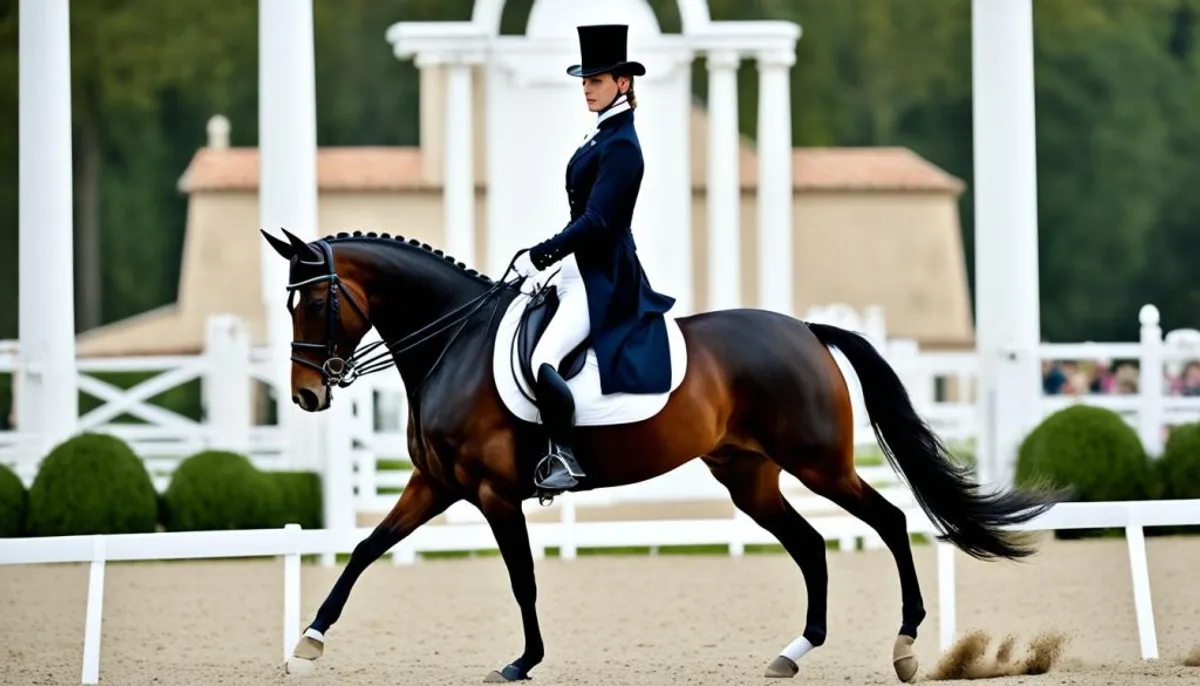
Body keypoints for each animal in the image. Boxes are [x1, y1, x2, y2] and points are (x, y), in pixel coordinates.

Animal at [258, 227, 1056, 681]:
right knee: (810, 546)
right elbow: (364, 550)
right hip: (749, 477)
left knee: (888, 521)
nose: (305, 395)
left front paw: (522, 663)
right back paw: (794, 653)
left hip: (817, 462)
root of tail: (804, 329)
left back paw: (905, 646)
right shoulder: (435, 484)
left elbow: (522, 581)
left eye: (315, 302)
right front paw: (308, 644)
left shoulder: (491, 492)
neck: (454, 342)